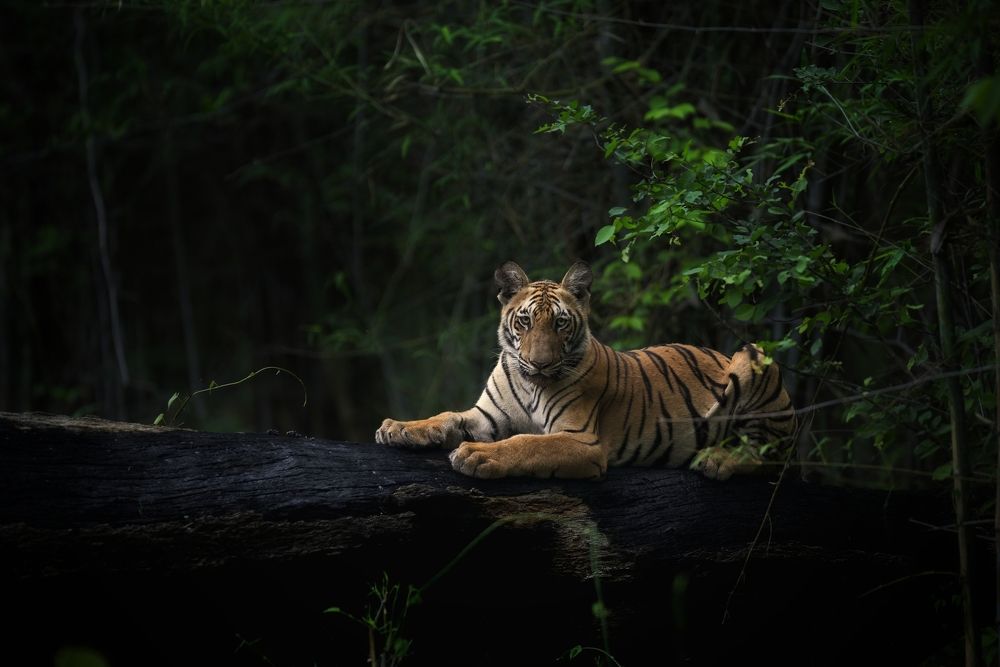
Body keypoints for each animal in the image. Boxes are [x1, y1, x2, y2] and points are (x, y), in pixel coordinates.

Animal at [375, 260, 795, 480]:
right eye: (525, 321)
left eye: (560, 323)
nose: (540, 363)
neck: (529, 384)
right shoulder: (486, 416)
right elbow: (445, 415)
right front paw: (398, 428)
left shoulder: (581, 439)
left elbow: (527, 443)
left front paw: (477, 455)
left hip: (753, 357)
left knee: (772, 456)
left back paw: (717, 459)